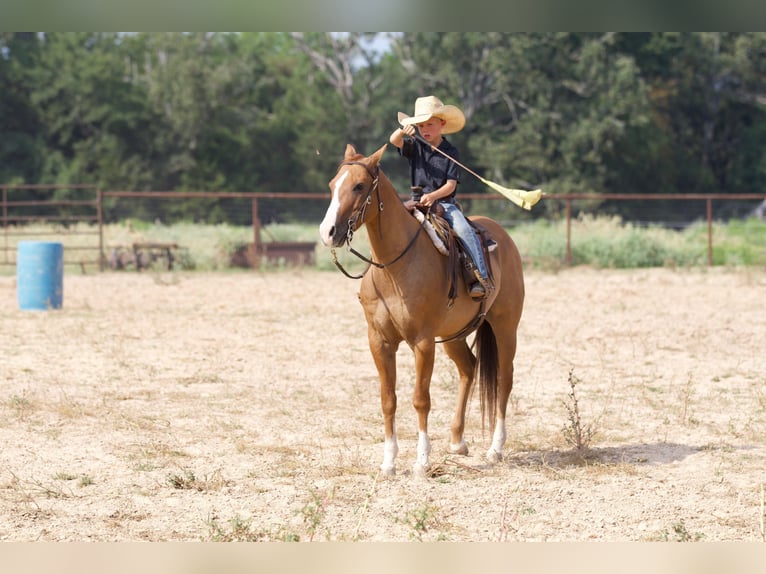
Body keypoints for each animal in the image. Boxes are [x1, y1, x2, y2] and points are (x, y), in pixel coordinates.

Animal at [320, 143, 528, 476]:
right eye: (332, 185)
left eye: (359, 186)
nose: (328, 232)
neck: (394, 267)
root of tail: (502, 235)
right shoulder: (379, 341)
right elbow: (388, 399)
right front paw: (389, 462)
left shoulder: (422, 341)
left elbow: (421, 399)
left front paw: (421, 461)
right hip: (455, 334)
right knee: (469, 368)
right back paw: (457, 441)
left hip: (505, 325)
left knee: (503, 379)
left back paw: (496, 448)